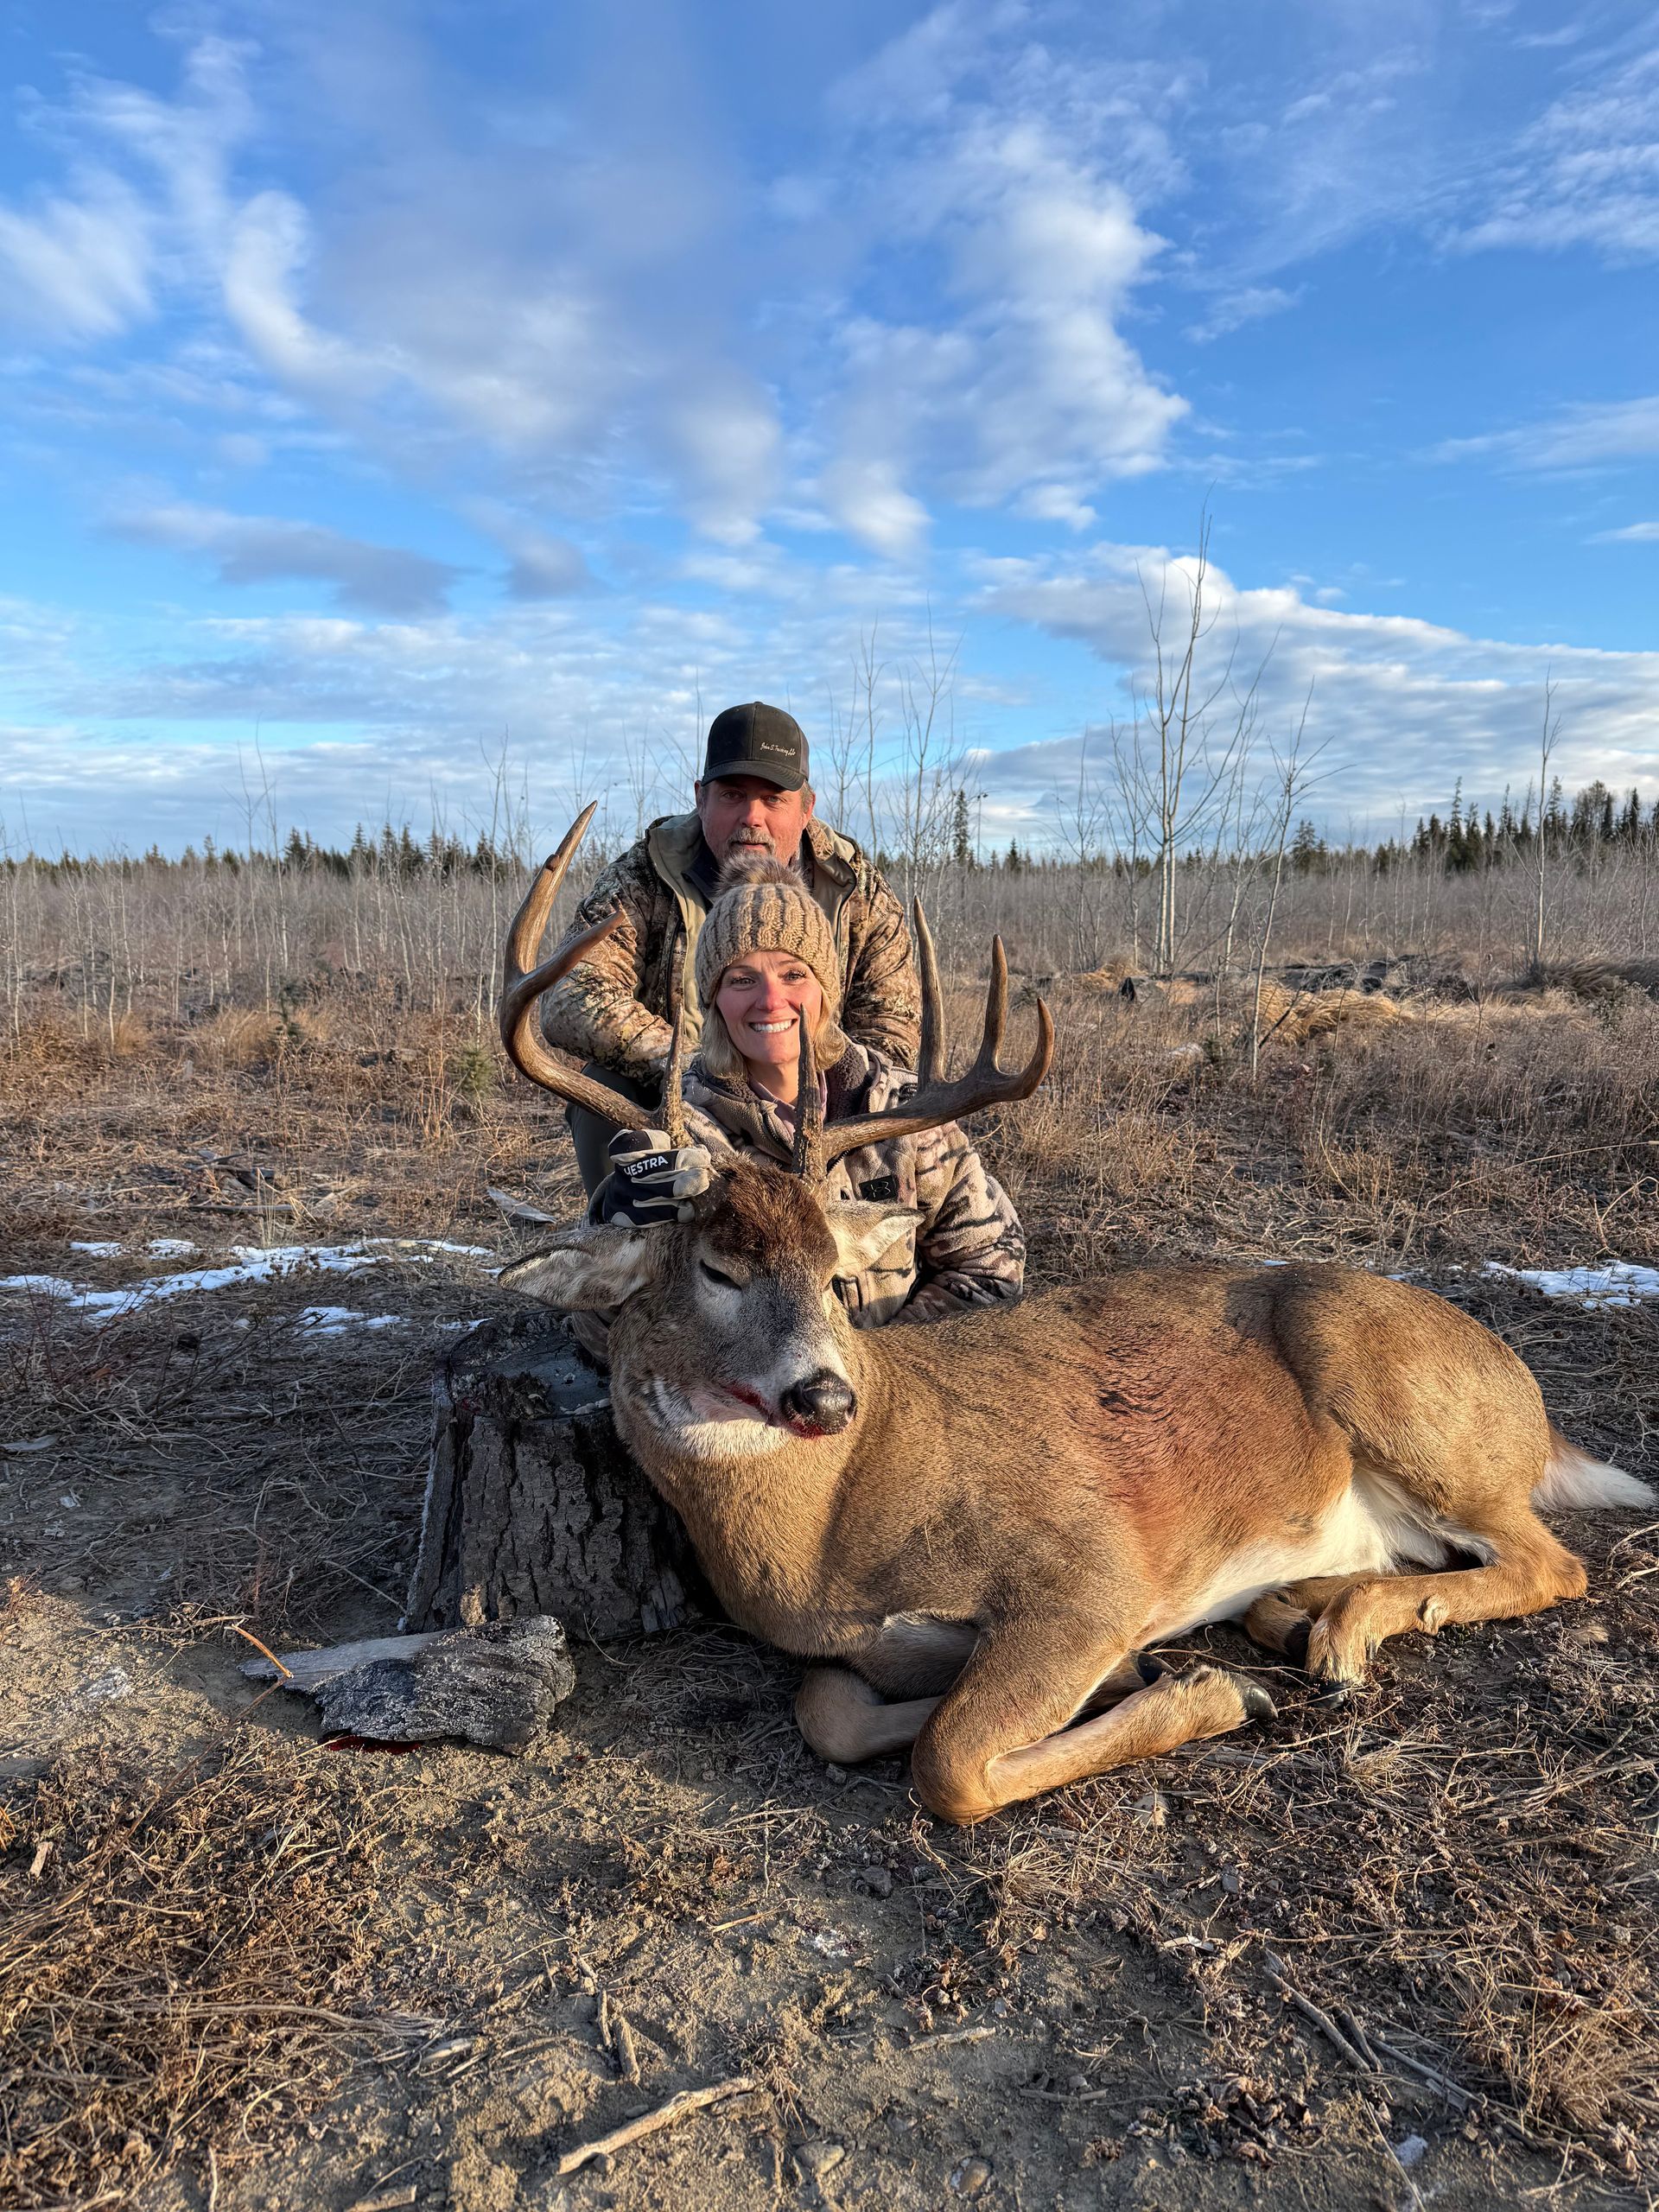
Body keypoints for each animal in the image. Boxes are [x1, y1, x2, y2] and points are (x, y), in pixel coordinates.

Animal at [495, 811, 1653, 1825]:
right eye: (720, 1266)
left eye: (832, 1273)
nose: (824, 1395)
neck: (824, 1532)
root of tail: (1528, 1399)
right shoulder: (867, 1647)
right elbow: (830, 1709)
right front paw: (1157, 1675)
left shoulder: (1087, 1573)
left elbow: (951, 1758)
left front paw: (1206, 1690)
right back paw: (1299, 1617)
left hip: (1393, 1389)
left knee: (1552, 1561)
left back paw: (1331, 1643)